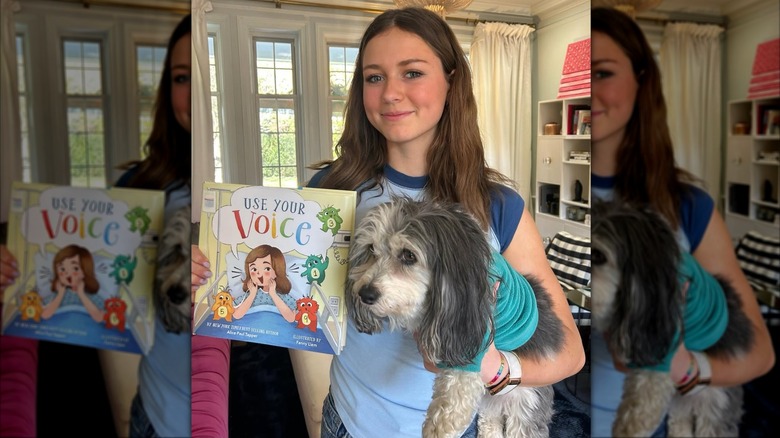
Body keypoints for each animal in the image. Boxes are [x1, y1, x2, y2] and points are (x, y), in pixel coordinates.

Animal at [346, 198, 560, 438]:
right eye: (371, 249)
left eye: (409, 255)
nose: (365, 294)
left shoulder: (471, 333)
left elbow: (457, 388)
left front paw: (439, 427)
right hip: (490, 407)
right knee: (490, 420)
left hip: (526, 404)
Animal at [596, 199, 752, 438]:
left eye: (598, 256)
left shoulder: (662, 337)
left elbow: (647, 391)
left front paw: (627, 429)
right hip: (681, 407)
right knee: (680, 422)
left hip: (715, 403)